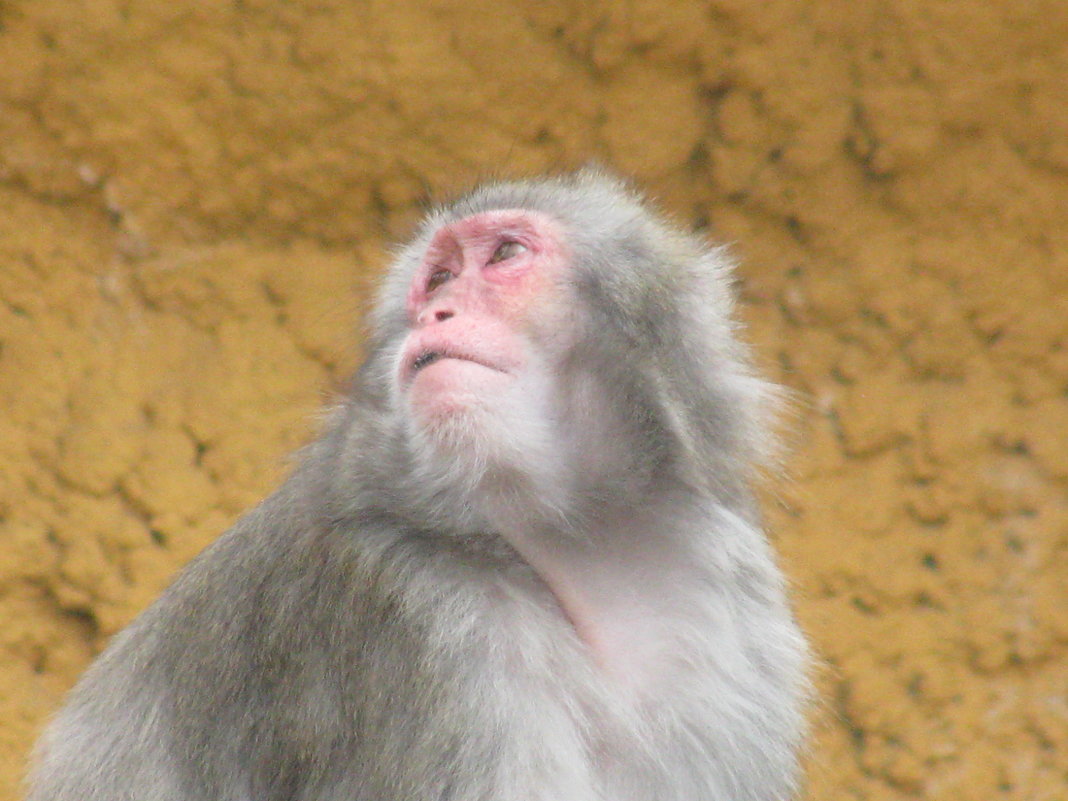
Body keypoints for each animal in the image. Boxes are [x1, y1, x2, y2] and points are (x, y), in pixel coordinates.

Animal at [25, 173, 807, 798]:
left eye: (505, 255)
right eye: (437, 279)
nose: (435, 313)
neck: (572, 543)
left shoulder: (728, 602)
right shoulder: (420, 620)